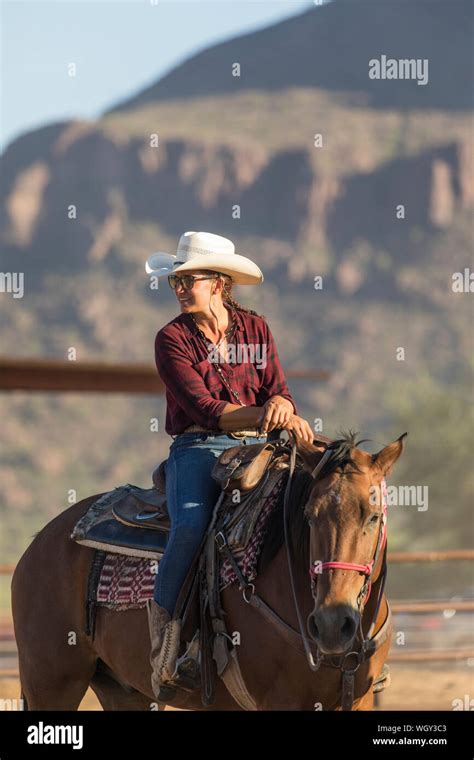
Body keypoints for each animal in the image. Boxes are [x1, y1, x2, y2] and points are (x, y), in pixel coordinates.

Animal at [10, 430, 404, 708]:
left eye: (373, 515)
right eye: (309, 515)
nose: (332, 625)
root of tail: (39, 542)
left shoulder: (359, 700)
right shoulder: (281, 701)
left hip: (123, 690)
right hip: (51, 683)